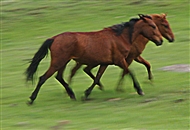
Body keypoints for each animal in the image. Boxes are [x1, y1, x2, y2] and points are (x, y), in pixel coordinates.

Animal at [25, 14, 163, 104]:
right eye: (153, 26)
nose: (160, 41)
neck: (120, 37)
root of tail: (54, 38)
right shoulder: (119, 61)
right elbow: (130, 72)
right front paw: (139, 90)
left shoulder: (105, 63)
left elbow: (97, 78)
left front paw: (86, 94)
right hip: (58, 62)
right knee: (43, 78)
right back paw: (31, 99)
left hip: (63, 62)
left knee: (59, 77)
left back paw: (72, 94)